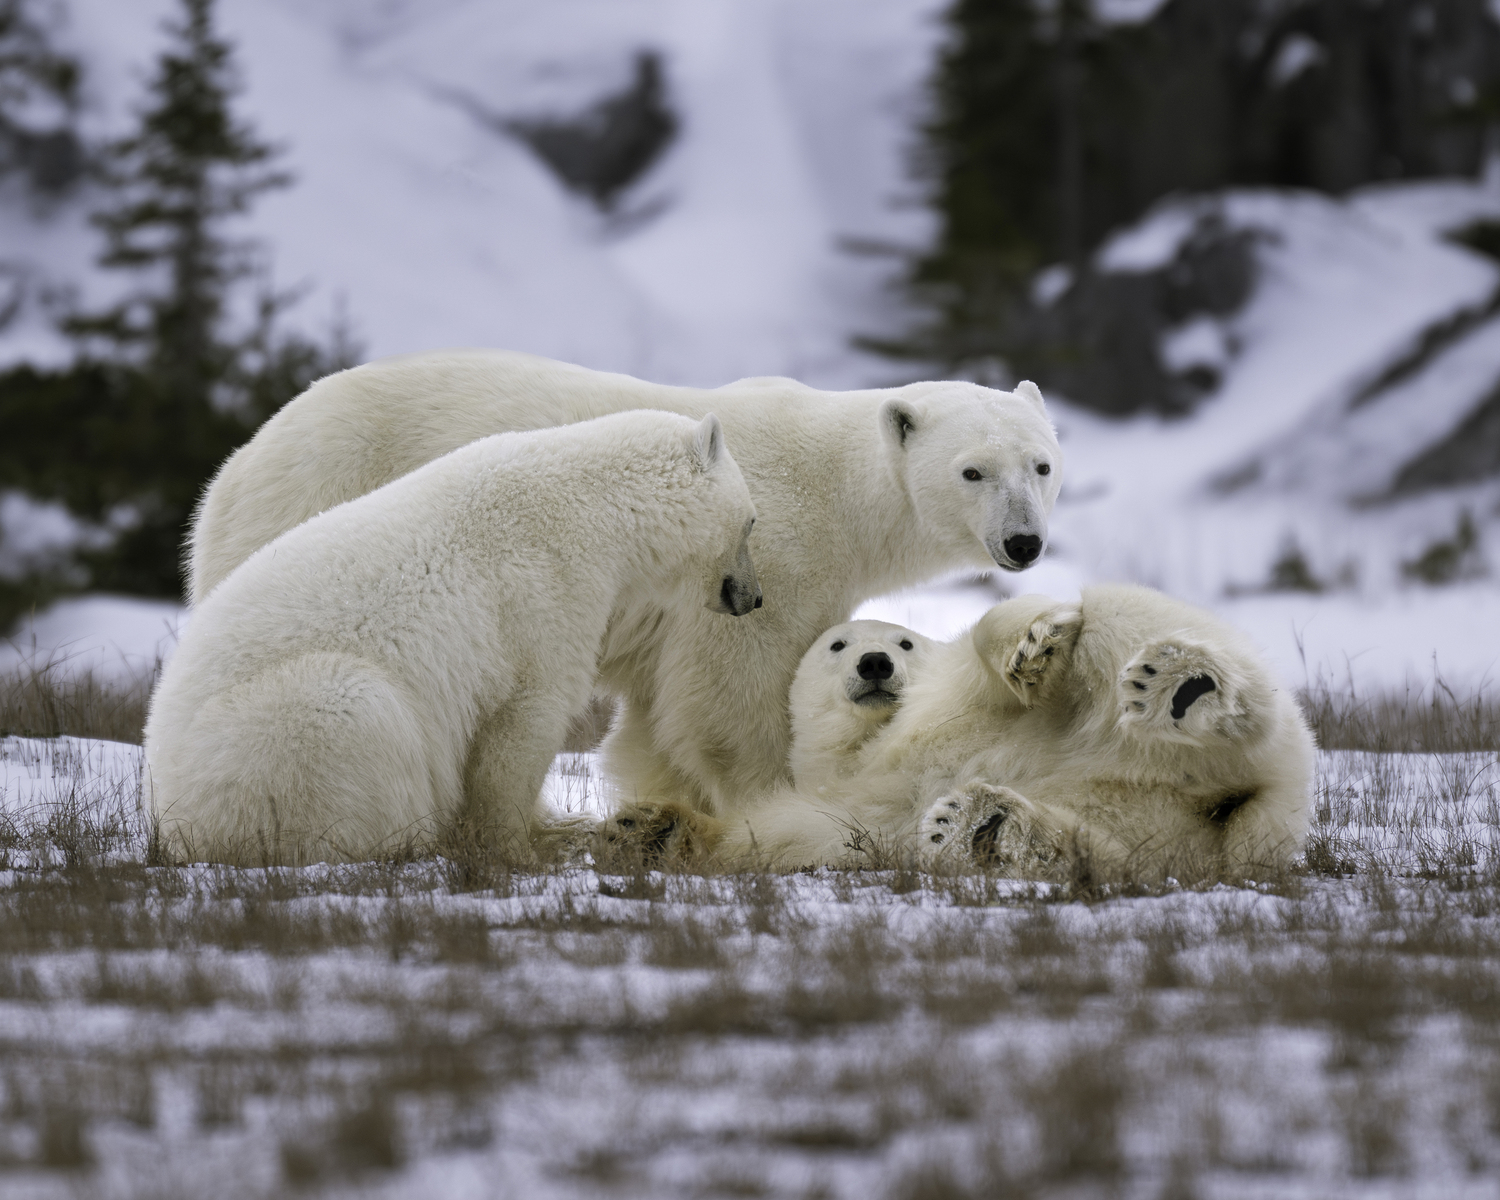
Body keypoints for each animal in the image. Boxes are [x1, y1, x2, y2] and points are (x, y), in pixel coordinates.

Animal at [144, 411, 756, 864]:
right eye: (752, 522)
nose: (752, 598)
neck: (592, 506)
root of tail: (173, 815)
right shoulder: (544, 592)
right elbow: (523, 725)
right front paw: (521, 850)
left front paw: (567, 829)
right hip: (278, 734)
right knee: (356, 719)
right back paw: (409, 839)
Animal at [190, 346, 1068, 828]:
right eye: (972, 471)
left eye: (1042, 464)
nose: (1023, 542)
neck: (840, 489)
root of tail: (237, 465)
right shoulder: (761, 559)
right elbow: (733, 695)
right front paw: (769, 802)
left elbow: (657, 723)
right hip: (318, 502)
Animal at [720, 585, 1308, 882]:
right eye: (838, 644)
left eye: (905, 643)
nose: (874, 662)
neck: (873, 744)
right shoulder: (842, 805)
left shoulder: (951, 696)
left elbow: (989, 653)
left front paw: (1037, 645)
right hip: (1152, 839)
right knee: (1095, 850)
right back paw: (981, 827)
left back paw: (1184, 688)